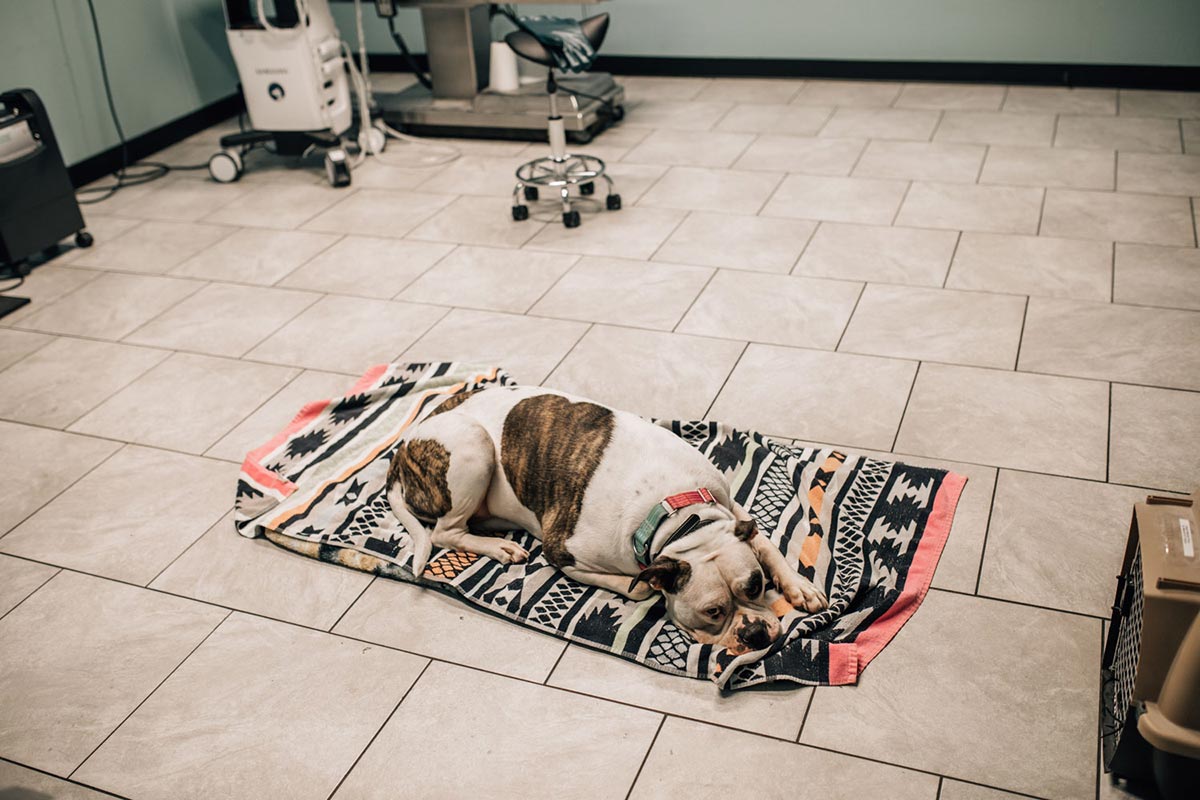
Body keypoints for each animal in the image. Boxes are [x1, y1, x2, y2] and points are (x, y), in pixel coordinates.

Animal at [388, 383, 830, 652]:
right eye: (713, 612)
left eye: (755, 587)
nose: (754, 632)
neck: (679, 516)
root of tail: (405, 443)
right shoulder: (562, 552)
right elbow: (639, 587)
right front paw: (645, 586)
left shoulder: (729, 506)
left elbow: (765, 543)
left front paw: (800, 588)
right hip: (472, 446)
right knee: (445, 532)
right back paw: (499, 547)